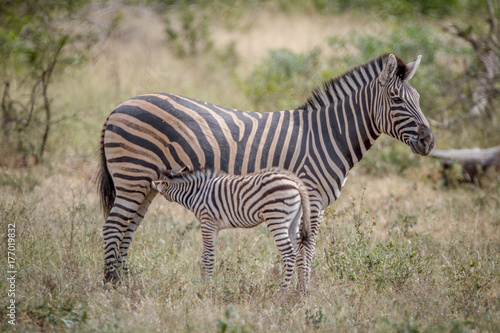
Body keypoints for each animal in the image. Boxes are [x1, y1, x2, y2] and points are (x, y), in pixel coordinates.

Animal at [150, 167, 310, 292]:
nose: (151, 185)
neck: (196, 193)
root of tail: (296, 183)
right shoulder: (214, 227)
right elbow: (204, 256)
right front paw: (202, 286)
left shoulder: (207, 222)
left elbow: (208, 257)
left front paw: (209, 288)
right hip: (294, 222)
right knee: (301, 252)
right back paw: (302, 292)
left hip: (276, 218)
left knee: (289, 254)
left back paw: (282, 292)